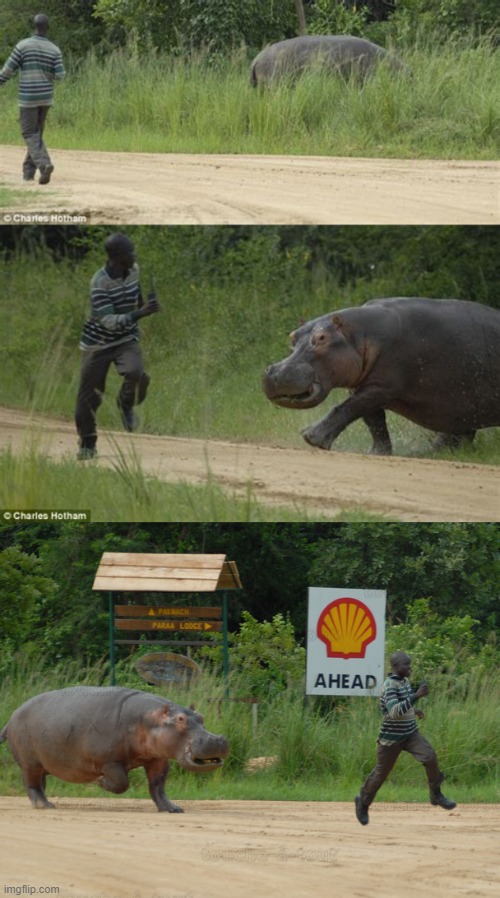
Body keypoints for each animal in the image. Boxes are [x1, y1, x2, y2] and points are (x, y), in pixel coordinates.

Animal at [0, 688, 229, 812]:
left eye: (201, 717)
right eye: (180, 719)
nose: (217, 739)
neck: (147, 719)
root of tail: (11, 717)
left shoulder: (158, 759)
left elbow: (158, 786)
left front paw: (173, 809)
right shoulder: (109, 762)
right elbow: (121, 783)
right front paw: (100, 782)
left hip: (42, 763)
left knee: (38, 783)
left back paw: (43, 802)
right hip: (30, 762)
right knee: (31, 783)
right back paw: (44, 805)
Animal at [262, 298, 500, 456]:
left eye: (322, 338)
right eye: (293, 336)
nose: (276, 373)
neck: (360, 335)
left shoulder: (381, 387)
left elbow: (347, 408)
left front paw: (311, 437)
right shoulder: (364, 386)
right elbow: (373, 421)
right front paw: (377, 453)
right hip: (462, 407)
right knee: (460, 433)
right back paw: (428, 452)